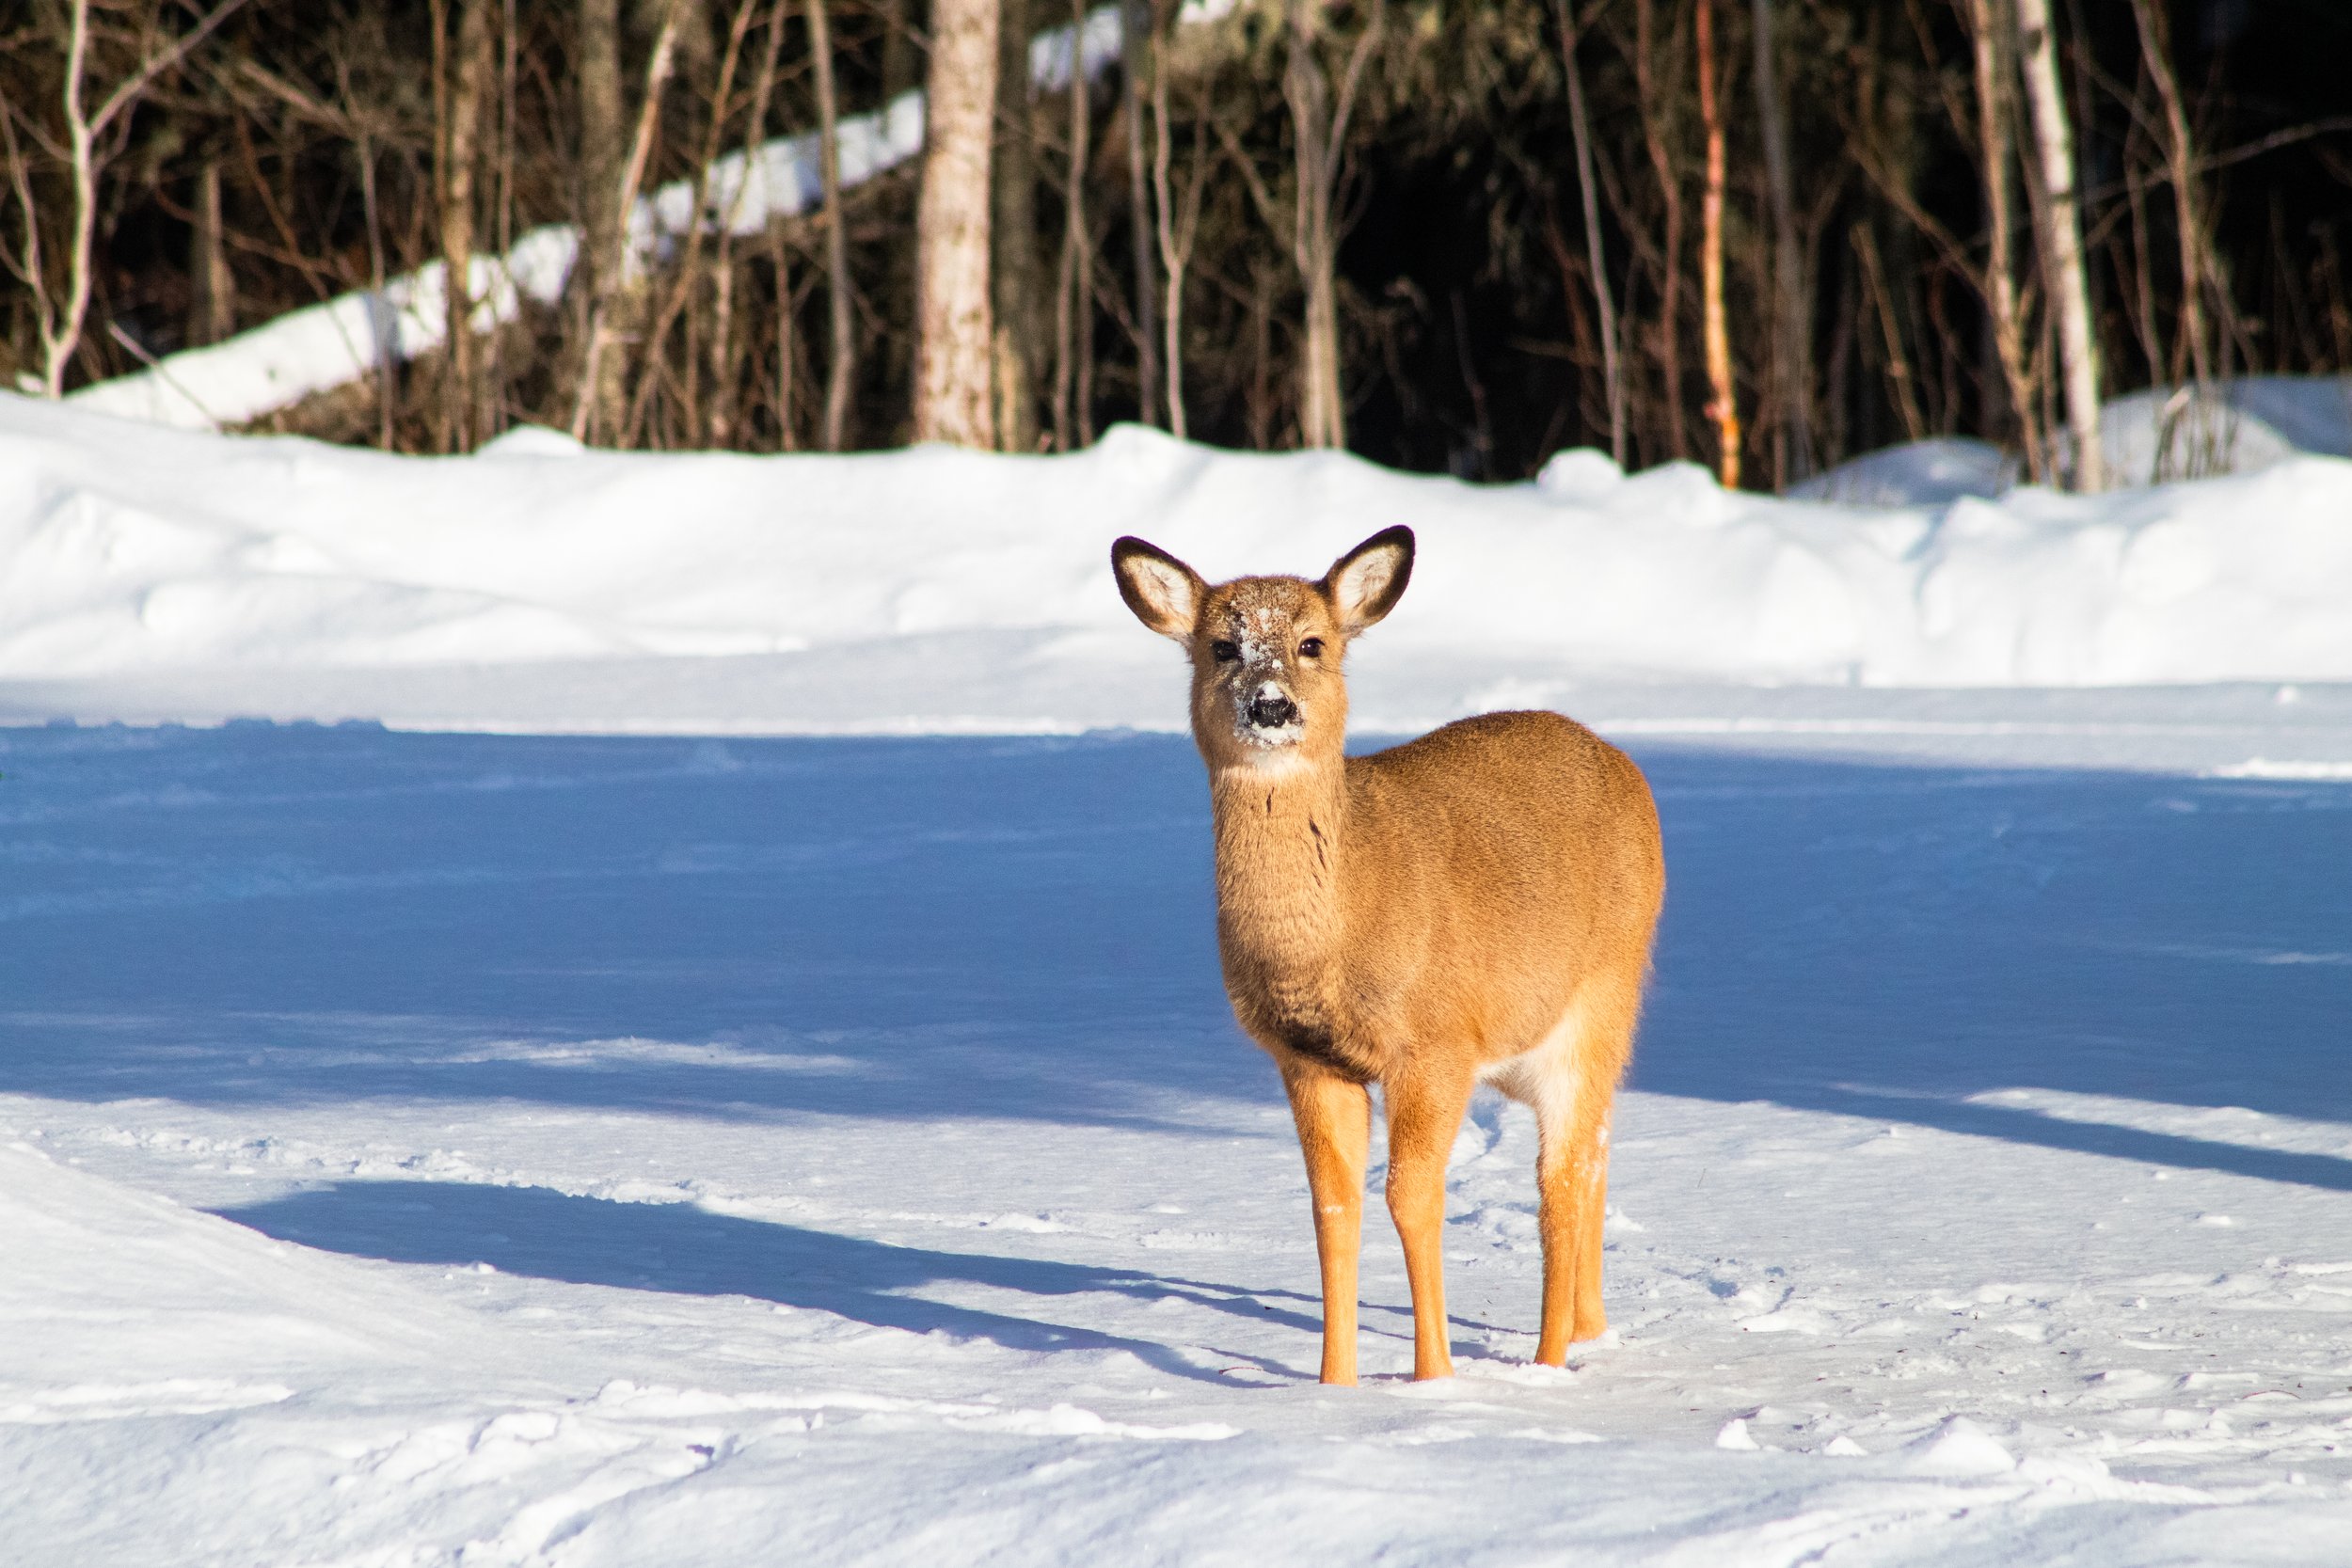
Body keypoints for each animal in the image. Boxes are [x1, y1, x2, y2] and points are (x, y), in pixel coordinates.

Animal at [1111, 524, 1665, 1384]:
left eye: (1312, 642)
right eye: (1221, 646)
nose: (1271, 705)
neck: (1333, 938)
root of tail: (1622, 764)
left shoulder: (1435, 1042)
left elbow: (1411, 1196)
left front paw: (1432, 1377)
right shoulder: (1308, 1058)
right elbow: (1333, 1206)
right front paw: (1332, 1383)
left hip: (1603, 994)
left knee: (1562, 1179)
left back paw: (1546, 1364)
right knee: (1596, 1154)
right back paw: (1587, 1331)